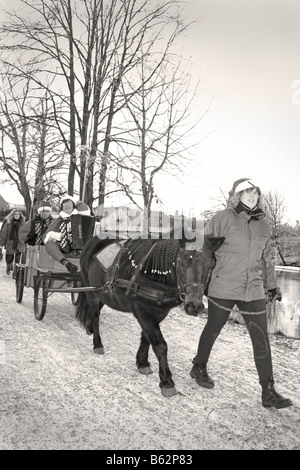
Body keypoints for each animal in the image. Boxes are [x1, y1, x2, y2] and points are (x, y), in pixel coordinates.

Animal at [75, 235, 223, 396]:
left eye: (211, 265)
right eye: (182, 263)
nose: (194, 306)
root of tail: (92, 240)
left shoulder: (159, 312)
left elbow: (147, 337)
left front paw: (142, 362)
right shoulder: (142, 311)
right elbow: (160, 344)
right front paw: (166, 381)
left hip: (102, 293)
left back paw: (89, 327)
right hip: (91, 292)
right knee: (95, 316)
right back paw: (97, 343)